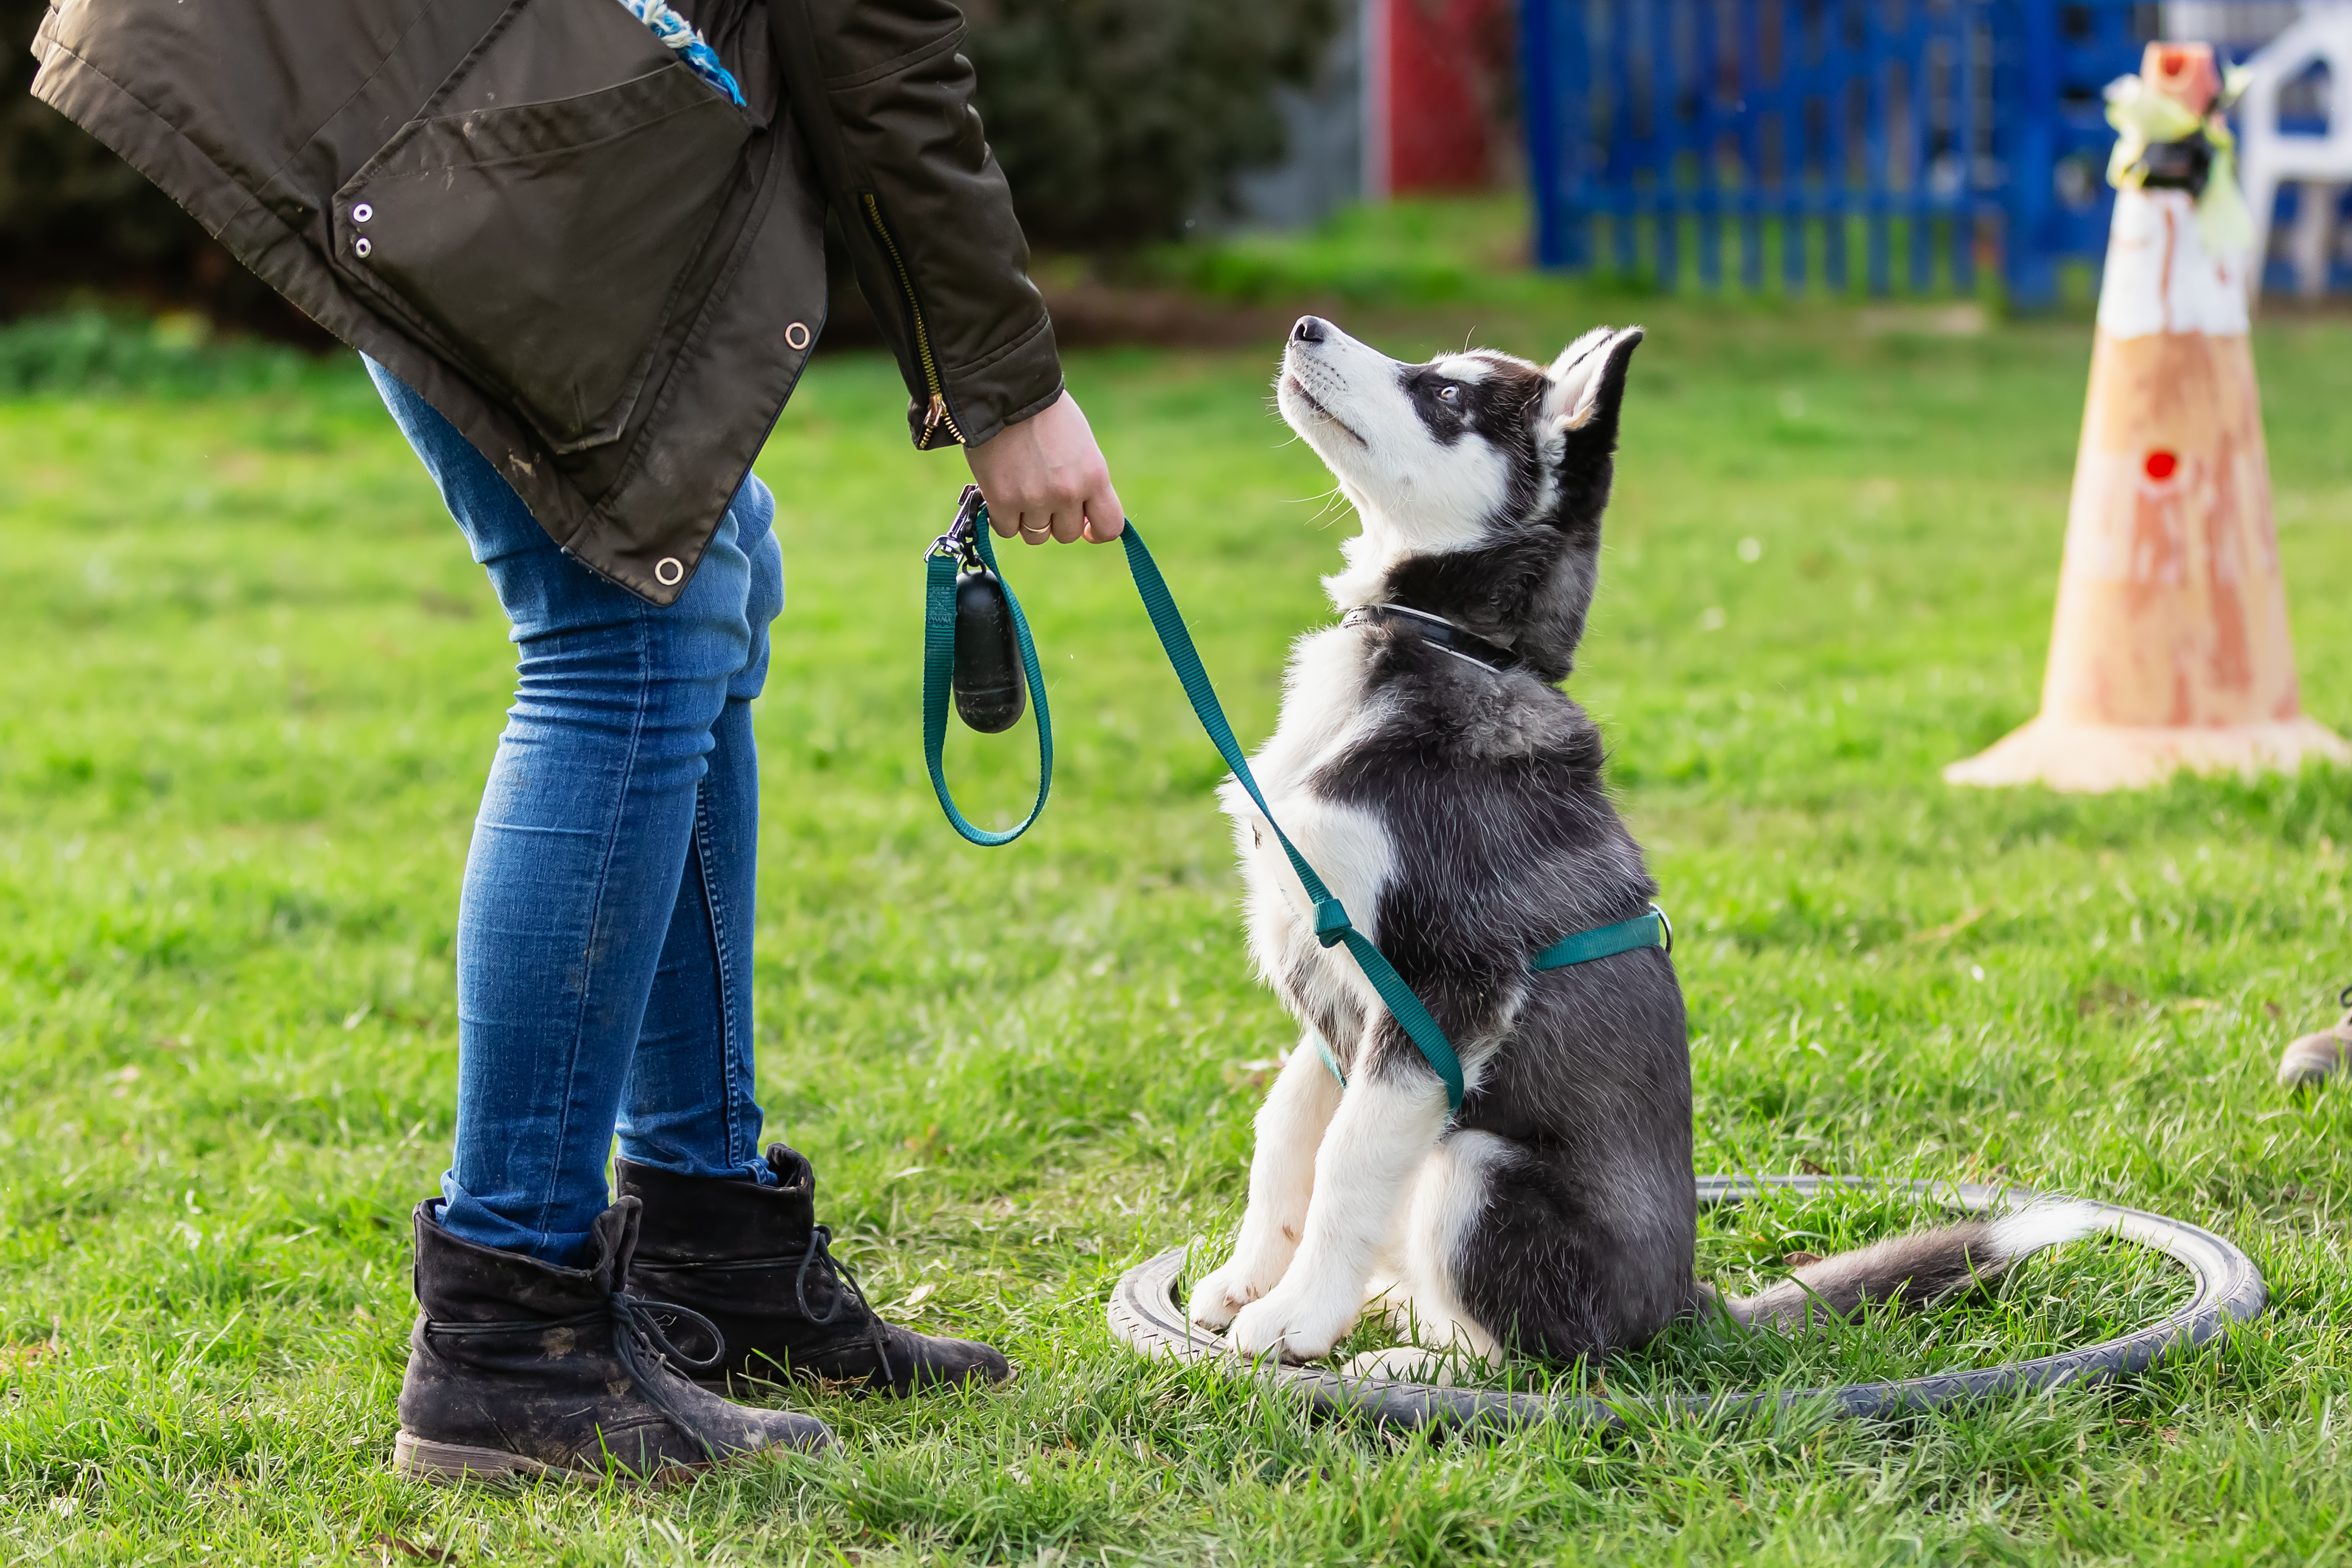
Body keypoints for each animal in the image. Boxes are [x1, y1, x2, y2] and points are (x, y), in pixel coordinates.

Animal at [1194, 322, 2098, 1382]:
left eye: (1447, 395)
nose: (1306, 327)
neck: (1451, 645)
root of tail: (1683, 1305)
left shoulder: (1446, 987)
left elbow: (1346, 1158)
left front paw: (1296, 1318)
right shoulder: (1334, 981)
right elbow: (1288, 1128)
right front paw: (1248, 1278)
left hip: (1479, 1168)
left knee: (1541, 1356)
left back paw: (1415, 1361)